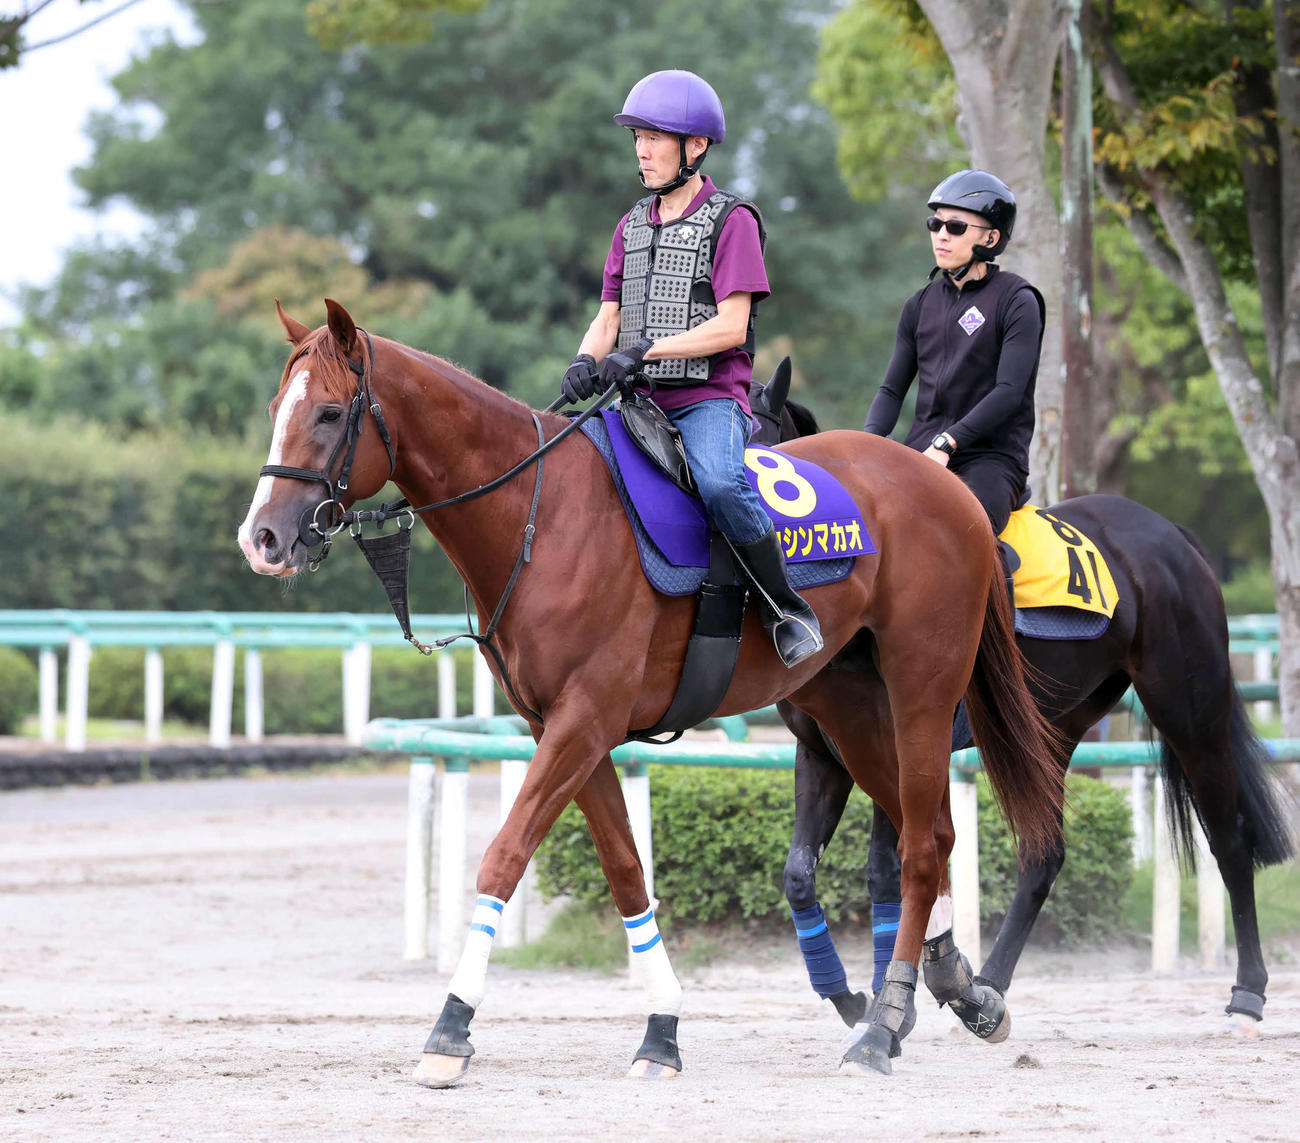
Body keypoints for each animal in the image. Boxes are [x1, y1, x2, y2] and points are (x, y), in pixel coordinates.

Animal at [237, 299, 1064, 1085]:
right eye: (277, 404)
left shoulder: (583, 719)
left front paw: (451, 1026)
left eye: (329, 412)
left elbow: (505, 855)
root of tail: (946, 487)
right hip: (848, 705)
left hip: (922, 686)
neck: (540, 513)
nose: (262, 538)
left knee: (921, 844)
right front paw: (661, 1029)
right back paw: (959, 987)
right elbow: (627, 870)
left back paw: (881, 1025)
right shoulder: (565, 728)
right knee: (936, 832)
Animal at [768, 405, 1295, 1043]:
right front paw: (860, 998)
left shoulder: (897, 741)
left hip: (1190, 713)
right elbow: (801, 873)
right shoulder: (822, 754)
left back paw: (1248, 993)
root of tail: (1170, 534)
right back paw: (989, 986)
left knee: (1231, 841)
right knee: (1045, 854)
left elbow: (886, 868)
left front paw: (890, 1006)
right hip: (1055, 729)